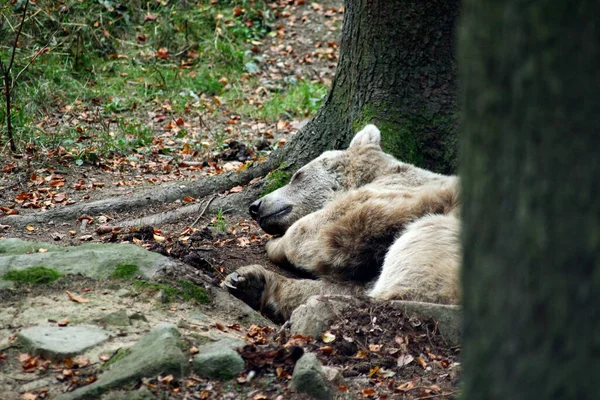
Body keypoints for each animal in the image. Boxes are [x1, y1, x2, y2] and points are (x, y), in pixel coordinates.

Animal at [220, 125, 460, 318]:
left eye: (298, 175)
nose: (255, 206)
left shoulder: (400, 194)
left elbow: (328, 226)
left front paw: (276, 244)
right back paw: (252, 283)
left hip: (440, 237)